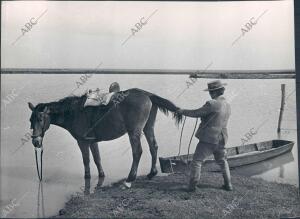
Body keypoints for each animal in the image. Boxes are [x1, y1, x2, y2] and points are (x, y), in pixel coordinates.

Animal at [28, 88, 183, 187]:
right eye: (30, 120)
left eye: (40, 119)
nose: (36, 141)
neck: (74, 112)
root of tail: (147, 94)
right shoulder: (92, 142)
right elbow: (97, 159)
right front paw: (101, 176)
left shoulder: (82, 142)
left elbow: (86, 160)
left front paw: (87, 177)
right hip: (148, 127)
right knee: (153, 147)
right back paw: (151, 173)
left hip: (134, 132)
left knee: (137, 152)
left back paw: (130, 178)